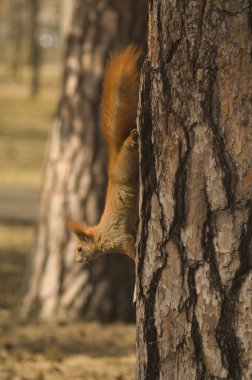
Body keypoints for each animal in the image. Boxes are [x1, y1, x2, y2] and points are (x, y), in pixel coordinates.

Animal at [68, 44, 141, 262]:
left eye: (80, 248)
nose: (77, 261)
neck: (100, 236)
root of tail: (113, 157)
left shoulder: (117, 238)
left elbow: (130, 246)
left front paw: (137, 261)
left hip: (126, 165)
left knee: (128, 146)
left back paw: (133, 137)